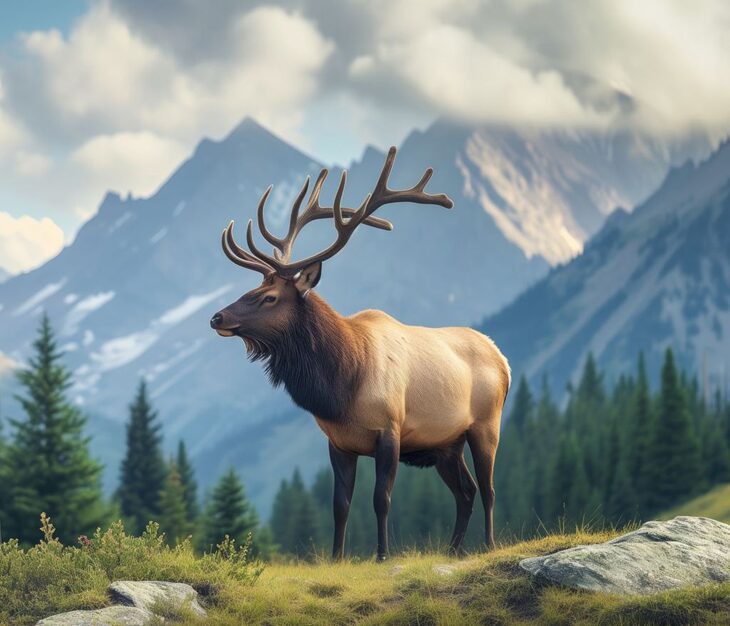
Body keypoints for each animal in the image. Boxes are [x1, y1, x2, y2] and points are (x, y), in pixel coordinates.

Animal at [210, 147, 510, 560]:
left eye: (269, 297)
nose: (217, 317)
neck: (342, 385)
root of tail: (504, 360)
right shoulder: (338, 442)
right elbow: (340, 505)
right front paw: (337, 558)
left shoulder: (390, 431)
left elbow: (381, 499)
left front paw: (382, 554)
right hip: (446, 444)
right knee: (465, 492)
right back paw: (452, 550)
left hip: (485, 425)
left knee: (489, 489)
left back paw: (489, 544)